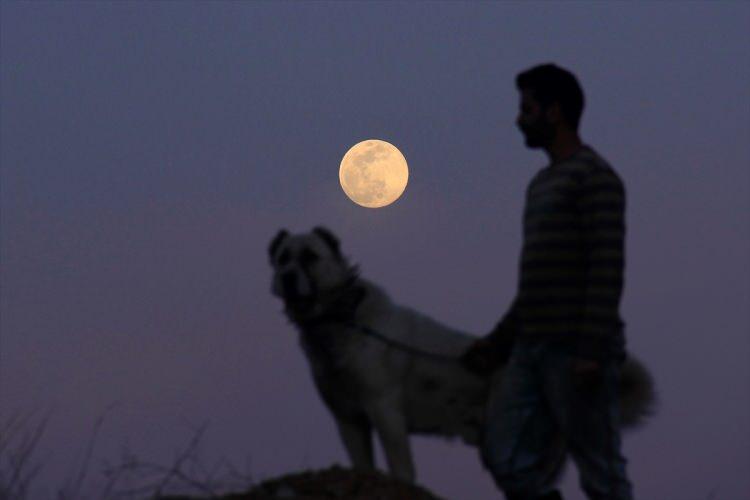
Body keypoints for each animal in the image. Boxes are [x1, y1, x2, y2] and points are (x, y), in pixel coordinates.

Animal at [268, 228, 652, 484]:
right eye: (283, 258)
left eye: (310, 257)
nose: (286, 277)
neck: (343, 319)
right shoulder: (347, 418)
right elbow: (362, 465)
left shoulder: (385, 412)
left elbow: (402, 470)